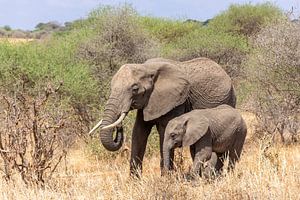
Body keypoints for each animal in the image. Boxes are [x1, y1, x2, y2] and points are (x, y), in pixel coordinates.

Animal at [89, 57, 237, 176]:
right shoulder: (149, 102)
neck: (147, 68)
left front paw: (166, 178)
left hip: (229, 100)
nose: (119, 124)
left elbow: (163, 131)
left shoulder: (176, 101)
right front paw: (134, 182)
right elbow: (139, 132)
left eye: (135, 89)